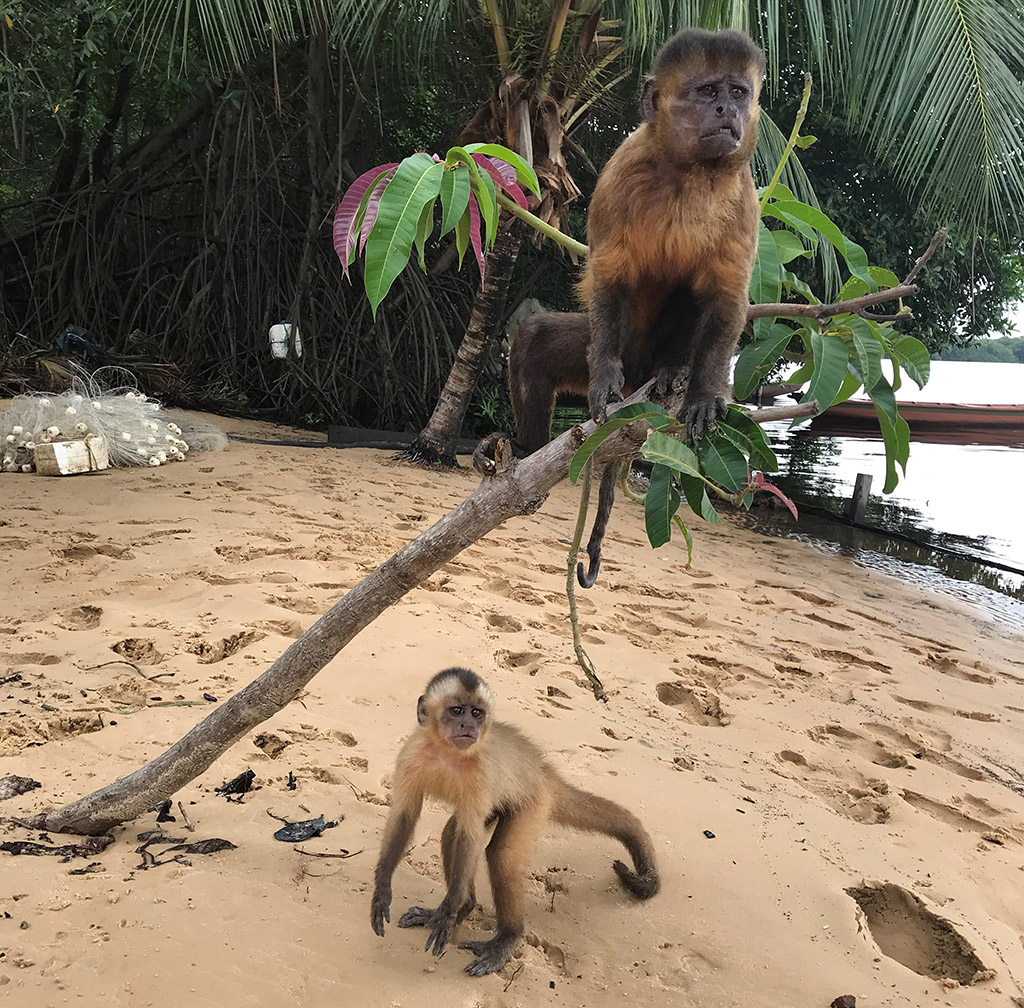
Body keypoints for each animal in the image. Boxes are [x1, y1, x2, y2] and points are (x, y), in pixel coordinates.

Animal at [372, 667, 659, 975]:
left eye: (477, 713)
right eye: (457, 710)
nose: (468, 726)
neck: (448, 752)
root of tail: (544, 771)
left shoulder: (481, 773)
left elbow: (470, 837)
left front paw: (448, 912)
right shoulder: (411, 755)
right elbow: (405, 816)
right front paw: (382, 891)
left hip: (534, 802)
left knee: (501, 856)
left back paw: (506, 937)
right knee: (452, 833)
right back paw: (465, 907)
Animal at [471, 29, 761, 590]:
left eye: (738, 92)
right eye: (707, 91)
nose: (726, 109)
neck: (689, 172)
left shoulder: (744, 196)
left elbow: (726, 296)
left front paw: (704, 390)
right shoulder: (622, 169)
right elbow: (610, 276)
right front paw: (604, 379)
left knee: (690, 297)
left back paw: (672, 369)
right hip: (621, 350)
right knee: (536, 338)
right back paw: (527, 451)